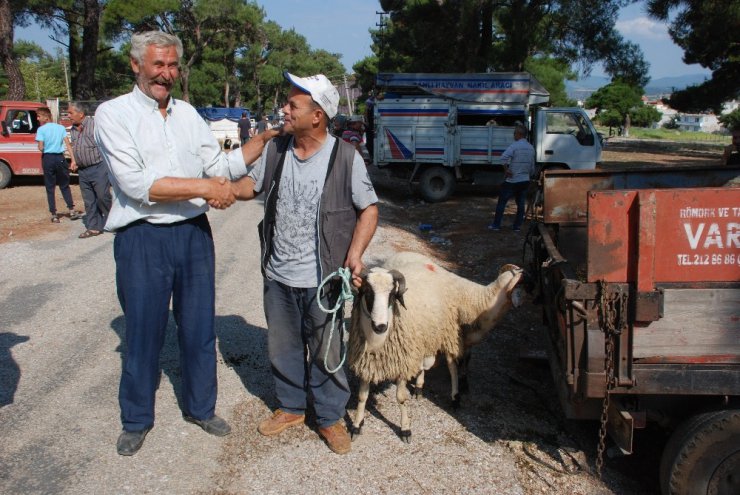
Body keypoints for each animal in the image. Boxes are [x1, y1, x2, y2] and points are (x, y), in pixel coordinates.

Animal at [348, 252, 528, 442]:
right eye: (367, 292)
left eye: (392, 294)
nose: (380, 326)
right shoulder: (366, 361)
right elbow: (362, 397)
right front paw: (356, 426)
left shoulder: (404, 360)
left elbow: (401, 398)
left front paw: (405, 429)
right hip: (426, 334)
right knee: (426, 362)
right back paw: (420, 387)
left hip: (445, 332)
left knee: (451, 366)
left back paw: (454, 397)